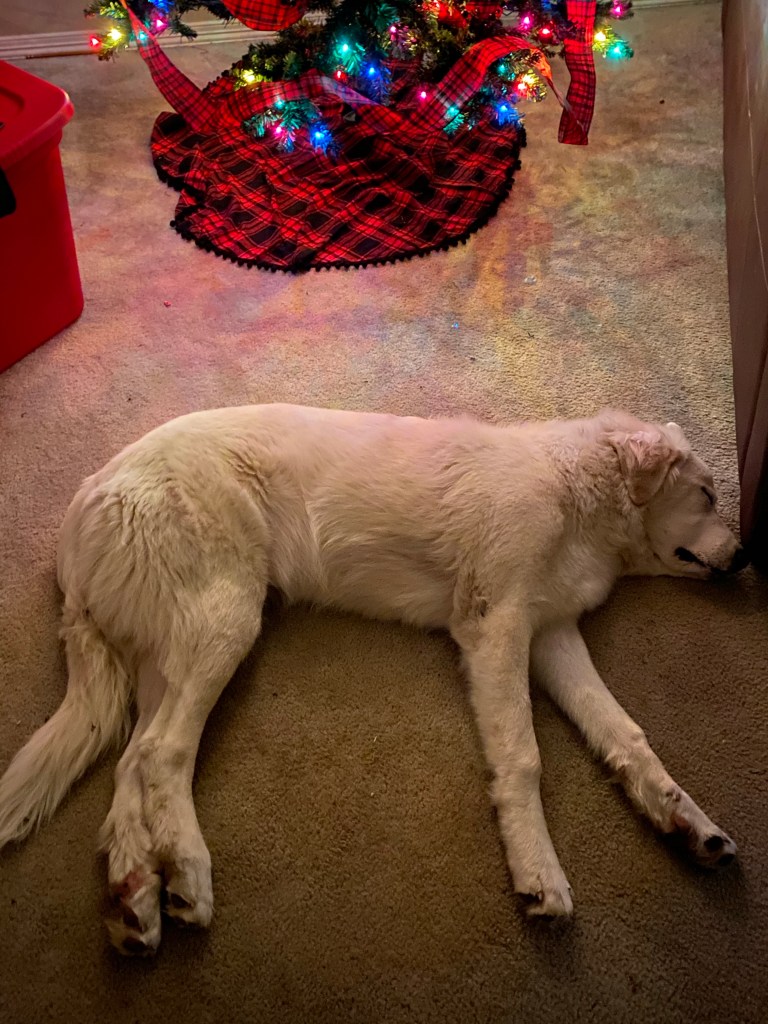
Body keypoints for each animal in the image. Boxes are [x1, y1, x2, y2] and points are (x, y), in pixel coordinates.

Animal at [0, 404, 747, 954]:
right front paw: (539, 873)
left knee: (131, 764)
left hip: (168, 654)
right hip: (223, 618)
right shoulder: (496, 625)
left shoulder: (553, 634)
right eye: (707, 494)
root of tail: (83, 508)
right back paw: (185, 871)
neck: (577, 492)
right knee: (162, 755)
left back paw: (134, 900)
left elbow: (624, 732)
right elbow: (523, 757)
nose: (746, 560)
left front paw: (688, 821)